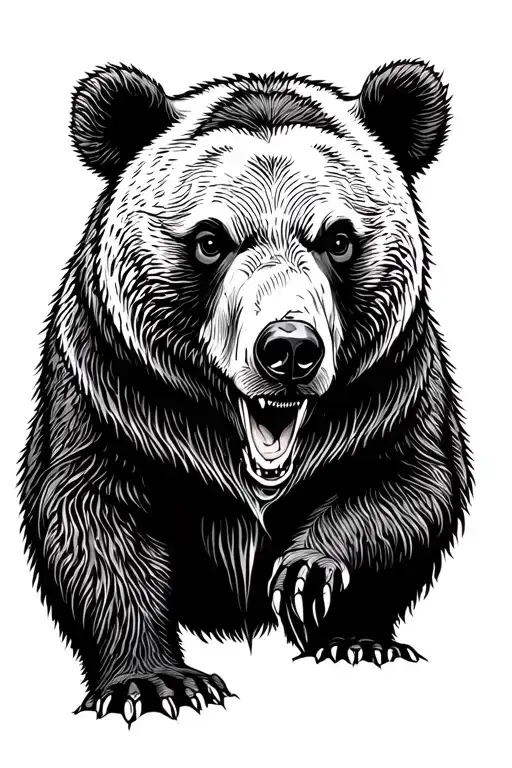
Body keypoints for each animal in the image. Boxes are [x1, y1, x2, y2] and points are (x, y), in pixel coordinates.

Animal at [19, 59, 472, 724]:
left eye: (338, 238)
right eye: (211, 240)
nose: (288, 349)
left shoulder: (392, 388)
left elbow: (406, 489)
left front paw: (310, 580)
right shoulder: (113, 391)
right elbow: (93, 519)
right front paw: (155, 684)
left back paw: (360, 644)